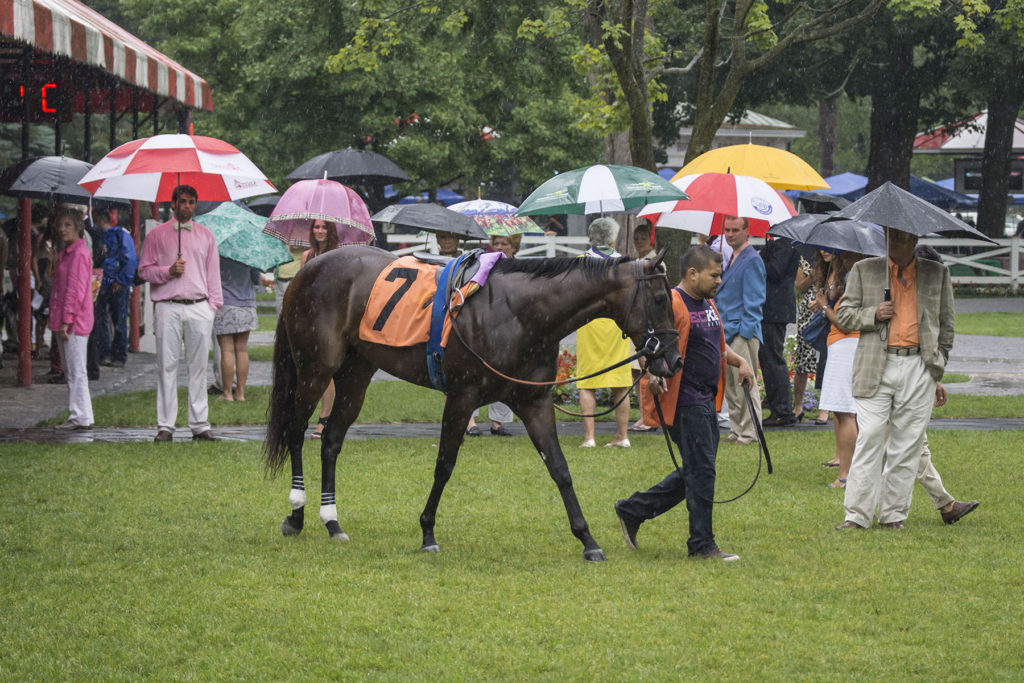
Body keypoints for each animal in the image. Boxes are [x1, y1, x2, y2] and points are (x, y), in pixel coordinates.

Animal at [260, 244, 684, 561]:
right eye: (660, 298)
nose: (674, 360)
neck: (518, 311)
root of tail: (309, 267)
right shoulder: (462, 398)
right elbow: (444, 465)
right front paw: (427, 532)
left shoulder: (534, 402)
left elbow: (560, 469)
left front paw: (588, 540)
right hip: (315, 369)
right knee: (296, 431)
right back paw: (296, 515)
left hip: (356, 374)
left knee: (331, 441)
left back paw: (332, 521)